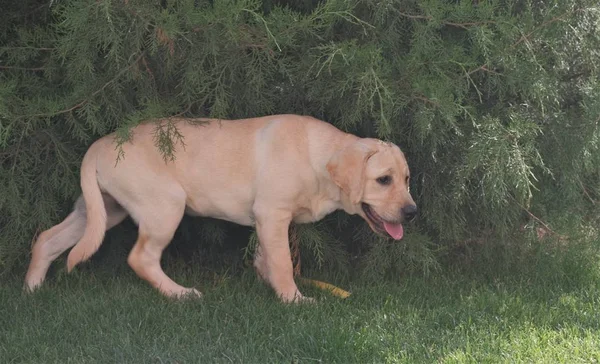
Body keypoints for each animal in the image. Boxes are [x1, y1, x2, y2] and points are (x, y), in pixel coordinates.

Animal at [24, 114, 418, 302]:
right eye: (384, 180)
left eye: (407, 178)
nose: (412, 213)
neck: (318, 156)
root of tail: (100, 144)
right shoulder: (273, 214)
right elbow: (283, 263)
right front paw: (294, 299)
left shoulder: (268, 221)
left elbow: (268, 259)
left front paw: (271, 286)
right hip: (165, 206)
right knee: (141, 258)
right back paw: (181, 294)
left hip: (100, 210)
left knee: (46, 238)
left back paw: (32, 290)